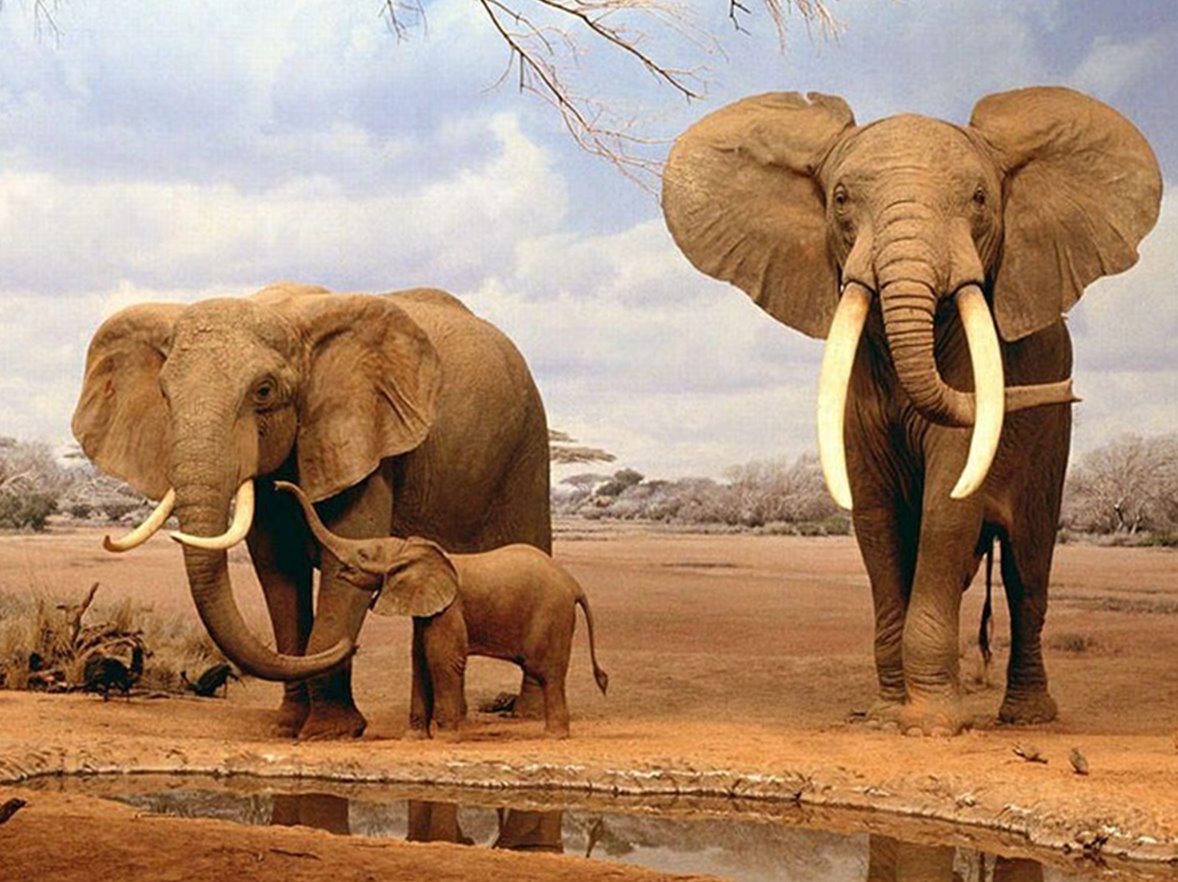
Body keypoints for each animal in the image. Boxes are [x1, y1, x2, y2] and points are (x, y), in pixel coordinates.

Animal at [72, 283, 552, 740]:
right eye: (164, 394)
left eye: (264, 391)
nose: (351, 647)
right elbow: (278, 572)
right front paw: (287, 727)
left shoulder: (362, 438)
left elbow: (345, 558)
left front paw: (329, 731)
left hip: (528, 444)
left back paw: (528, 715)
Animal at [279, 480, 609, 739]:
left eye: (363, 554)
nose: (277, 486)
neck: (410, 550)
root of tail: (573, 584)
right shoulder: (426, 610)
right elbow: (420, 660)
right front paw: (414, 739)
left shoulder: (450, 609)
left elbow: (442, 659)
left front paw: (447, 737)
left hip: (551, 614)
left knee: (547, 672)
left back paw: (554, 735)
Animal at [662, 87, 1162, 735]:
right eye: (841, 199)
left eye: (979, 199)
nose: (1070, 389)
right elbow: (874, 516)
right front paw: (885, 716)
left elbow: (946, 507)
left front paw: (930, 727)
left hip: (1053, 442)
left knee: (1028, 570)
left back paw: (1026, 718)